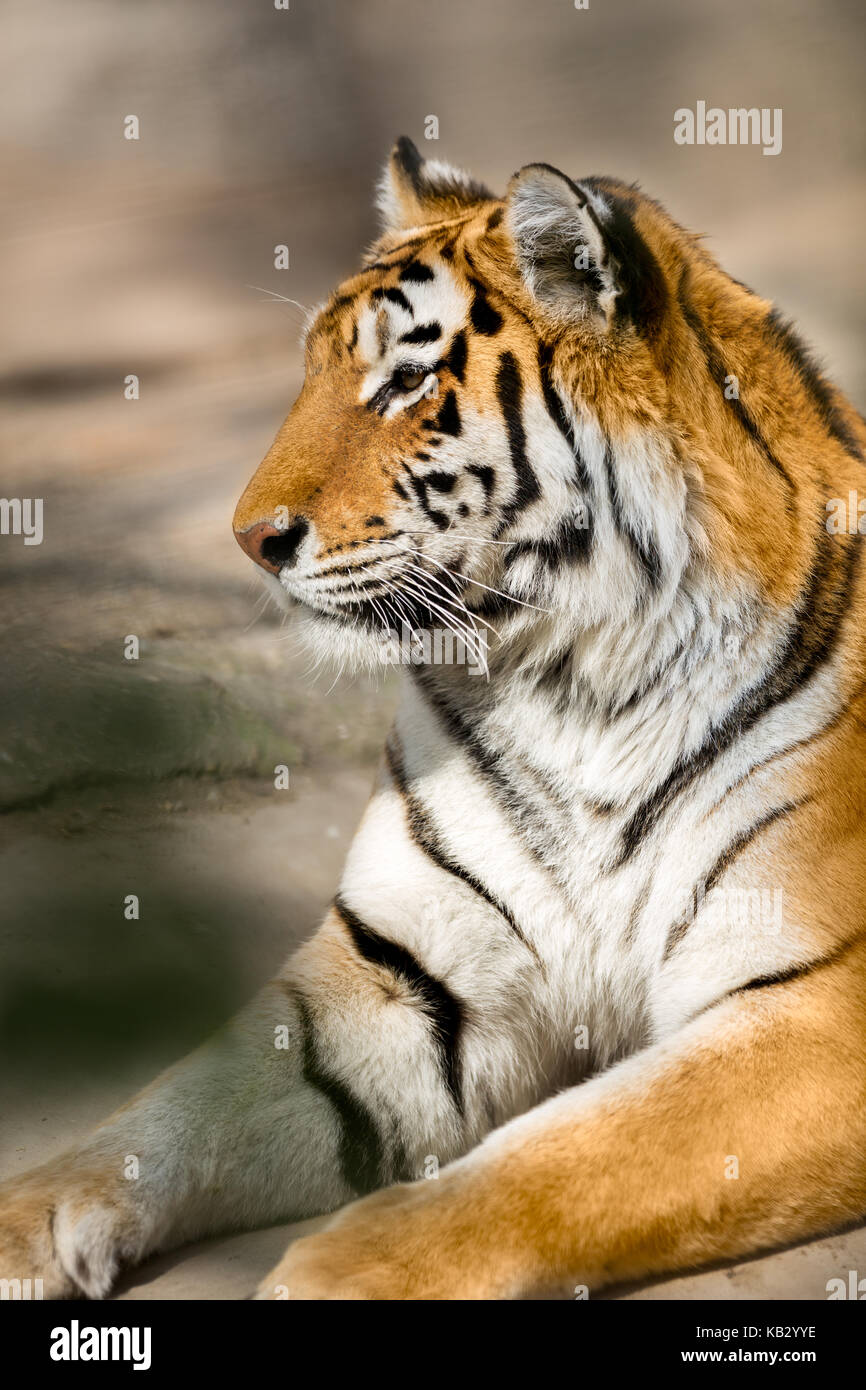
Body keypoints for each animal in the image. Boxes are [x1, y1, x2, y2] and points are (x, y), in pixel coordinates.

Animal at [1, 135, 866, 1295]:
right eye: (310, 373)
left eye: (406, 380)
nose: (248, 539)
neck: (574, 688)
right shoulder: (405, 975)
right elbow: (178, 1102)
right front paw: (27, 1215)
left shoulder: (816, 1010)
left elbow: (570, 1151)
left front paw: (337, 1271)